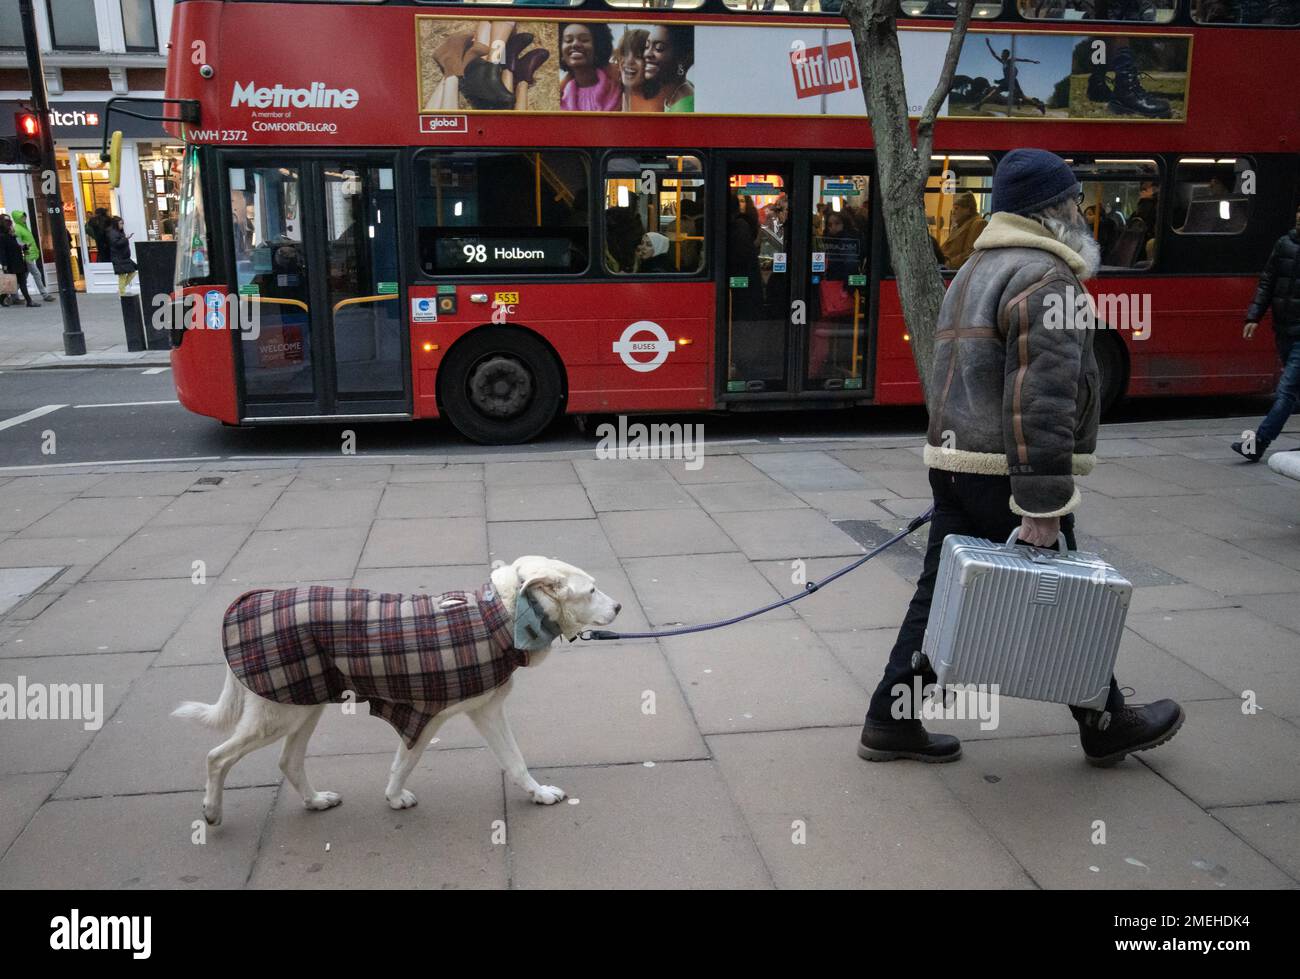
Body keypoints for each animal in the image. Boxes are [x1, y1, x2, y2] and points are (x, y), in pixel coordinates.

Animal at [172, 553, 618, 821]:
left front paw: (538, 793)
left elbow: (513, 760)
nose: (618, 606)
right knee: (217, 757)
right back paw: (211, 811)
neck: (501, 614)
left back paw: (315, 802)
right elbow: (407, 760)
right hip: (278, 714)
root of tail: (248, 602)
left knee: (288, 762)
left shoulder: (484, 710)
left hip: (302, 707)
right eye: (592, 589)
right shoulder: (428, 713)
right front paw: (394, 797)